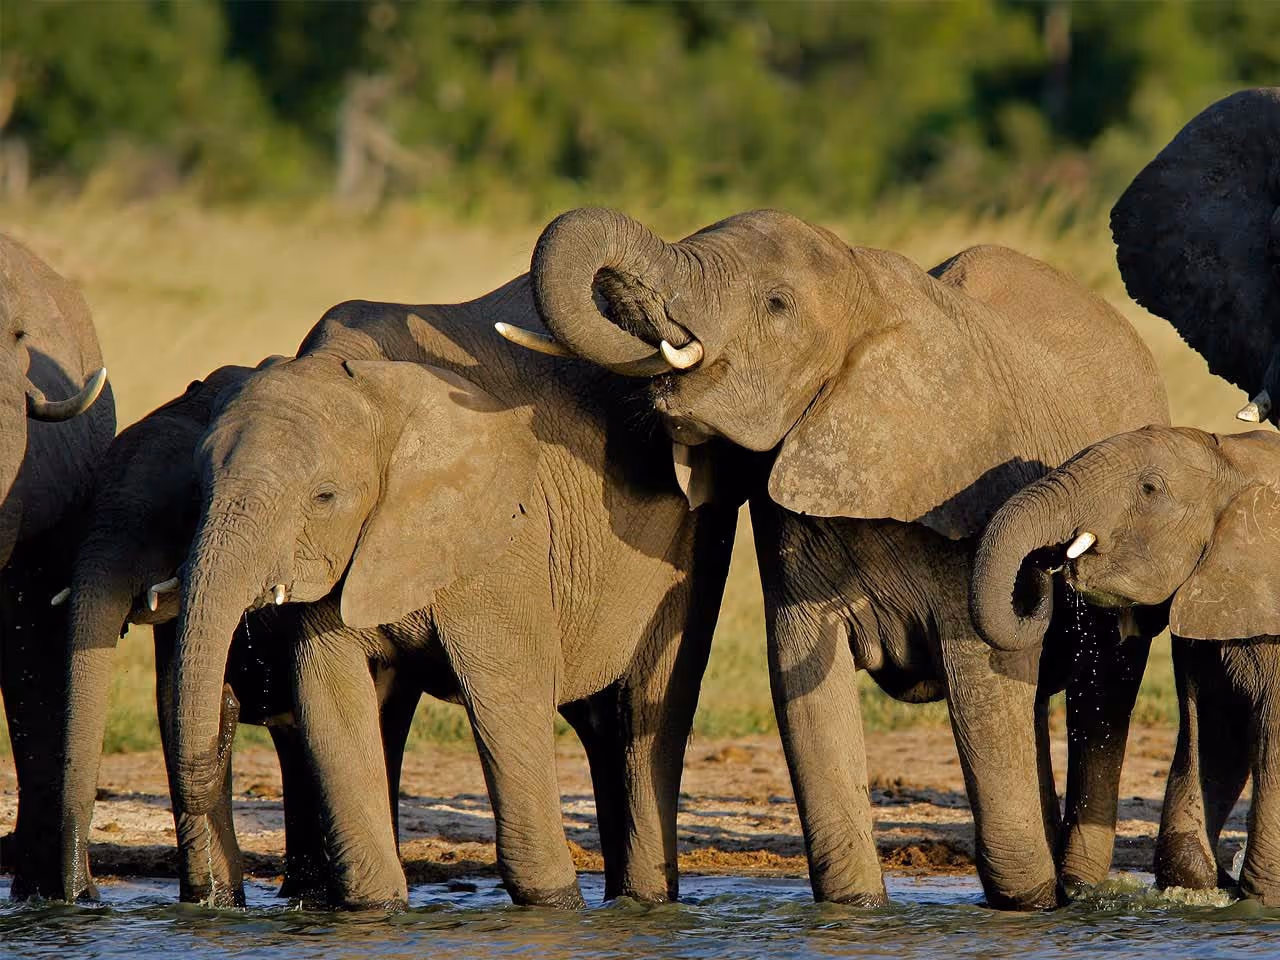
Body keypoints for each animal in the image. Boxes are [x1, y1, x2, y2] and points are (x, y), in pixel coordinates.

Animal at [165, 283, 739, 909]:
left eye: (324, 496)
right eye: (198, 486)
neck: (370, 382)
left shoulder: (502, 534)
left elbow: (506, 692)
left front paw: (553, 907)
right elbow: (331, 699)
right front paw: (375, 908)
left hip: (696, 536)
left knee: (646, 708)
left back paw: (644, 902)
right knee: (597, 726)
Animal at [497, 206, 1169, 909]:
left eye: (776, 305)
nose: (1044, 574)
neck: (866, 286)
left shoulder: (971, 489)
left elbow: (984, 683)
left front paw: (1026, 906)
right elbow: (807, 692)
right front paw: (856, 909)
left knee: (1104, 696)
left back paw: (1079, 889)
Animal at [970, 424, 1280, 904]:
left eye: (1150, 488)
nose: (1046, 567)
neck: (1239, 457)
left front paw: (1260, 898)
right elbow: (1213, 731)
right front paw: (1211, 888)